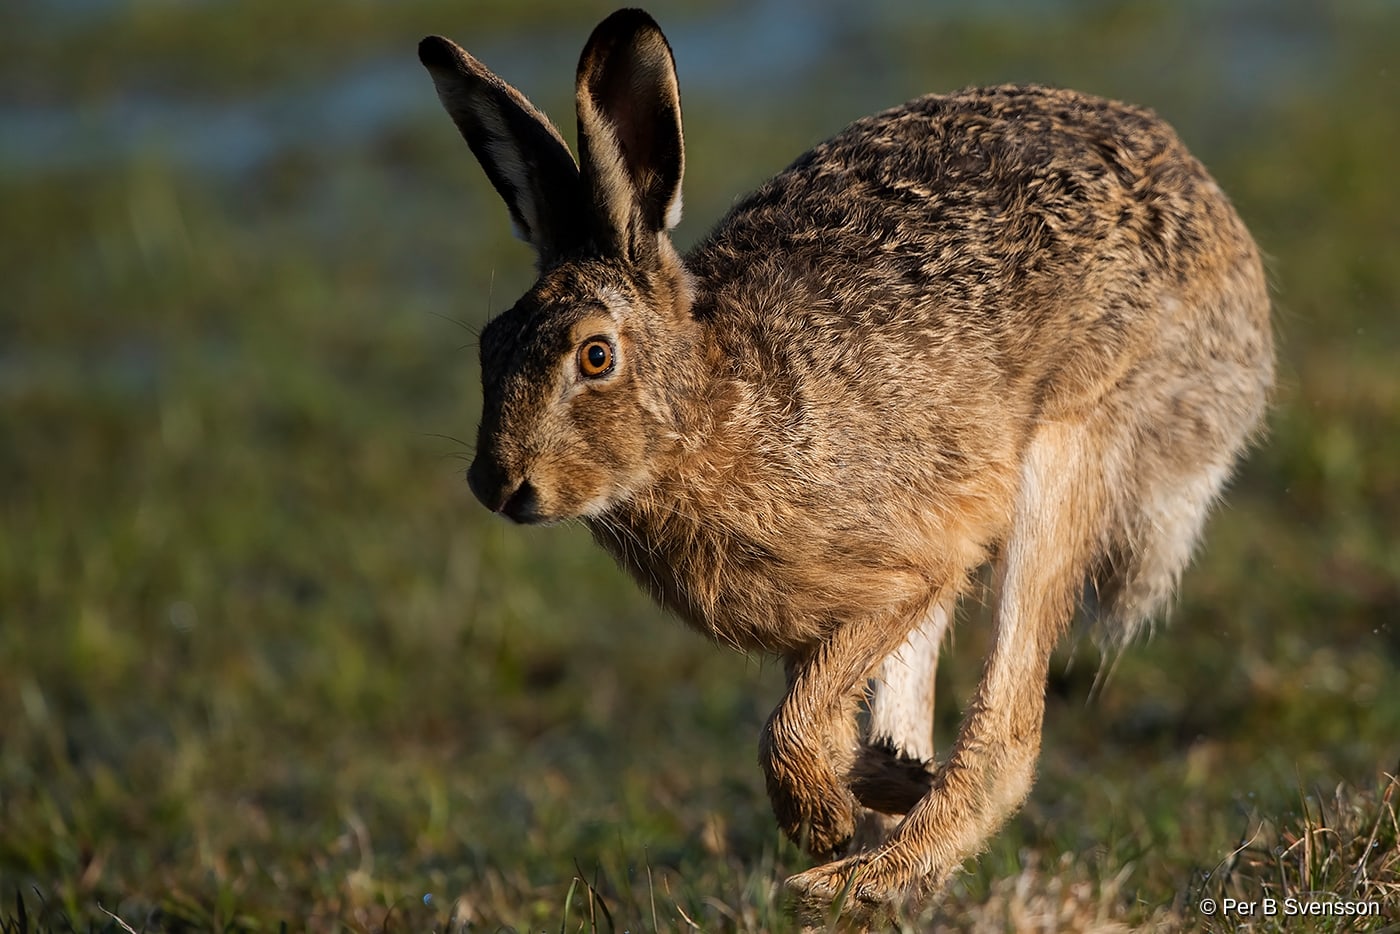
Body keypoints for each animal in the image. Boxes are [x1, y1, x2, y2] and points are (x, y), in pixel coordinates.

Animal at [417, 6, 1273, 914]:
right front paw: (865, 785)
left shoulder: (913, 569)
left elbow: (791, 724)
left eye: (595, 356)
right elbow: (817, 719)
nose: (499, 485)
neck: (709, 410)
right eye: (490, 344)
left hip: (1072, 449)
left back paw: (851, 879)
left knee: (1008, 735)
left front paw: (821, 818)